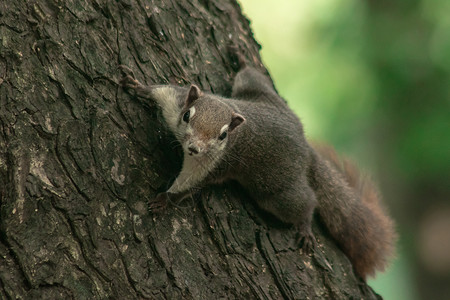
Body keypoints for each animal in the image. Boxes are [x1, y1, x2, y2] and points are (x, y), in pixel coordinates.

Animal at [118, 54, 396, 278]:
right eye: (187, 116)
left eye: (223, 135)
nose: (194, 148)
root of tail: (305, 146)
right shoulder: (175, 100)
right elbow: (159, 91)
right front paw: (136, 85)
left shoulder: (213, 164)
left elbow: (189, 185)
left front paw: (165, 199)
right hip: (260, 94)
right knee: (252, 77)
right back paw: (240, 57)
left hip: (277, 192)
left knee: (305, 202)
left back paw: (305, 226)